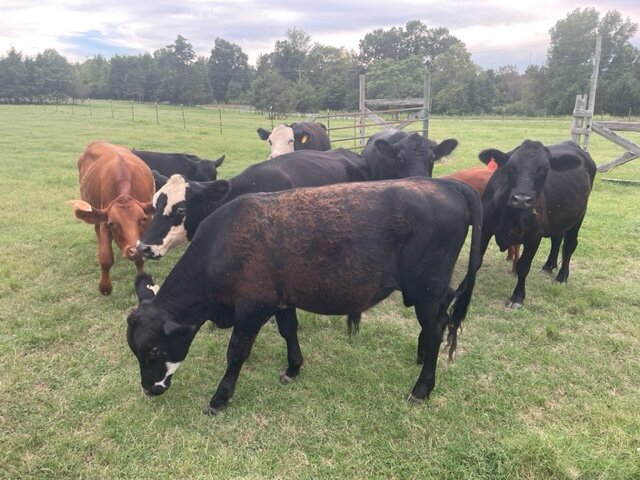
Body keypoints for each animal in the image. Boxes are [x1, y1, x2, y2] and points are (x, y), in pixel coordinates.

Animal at [70, 141, 155, 295]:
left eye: (143, 219)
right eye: (112, 223)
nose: (132, 250)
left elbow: (140, 259)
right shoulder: (105, 221)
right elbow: (106, 258)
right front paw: (105, 287)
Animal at [126, 177, 482, 414]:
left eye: (153, 350)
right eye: (136, 351)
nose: (149, 389)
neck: (222, 245)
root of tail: (445, 184)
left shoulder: (253, 307)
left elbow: (237, 351)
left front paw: (219, 398)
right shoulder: (281, 299)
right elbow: (289, 331)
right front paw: (294, 368)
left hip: (426, 289)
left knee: (436, 329)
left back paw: (421, 388)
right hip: (432, 290)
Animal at [475, 139, 596, 308]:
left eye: (544, 170)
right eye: (510, 167)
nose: (522, 199)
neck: (510, 214)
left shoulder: (533, 237)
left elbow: (523, 266)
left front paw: (518, 297)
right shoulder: (485, 228)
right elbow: (477, 260)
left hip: (579, 216)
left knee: (570, 245)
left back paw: (562, 277)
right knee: (557, 239)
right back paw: (548, 266)